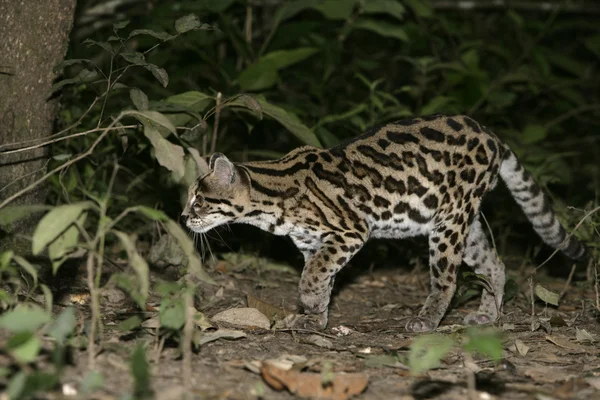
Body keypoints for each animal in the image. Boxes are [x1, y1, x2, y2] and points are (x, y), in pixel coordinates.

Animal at [182, 115, 584, 332]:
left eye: (198, 199)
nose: (184, 217)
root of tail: (490, 133)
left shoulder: (349, 232)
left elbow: (311, 277)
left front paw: (310, 306)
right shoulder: (313, 244)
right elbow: (319, 277)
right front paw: (315, 319)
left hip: (449, 220)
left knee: (447, 279)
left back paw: (428, 320)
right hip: (464, 223)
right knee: (495, 265)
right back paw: (488, 314)